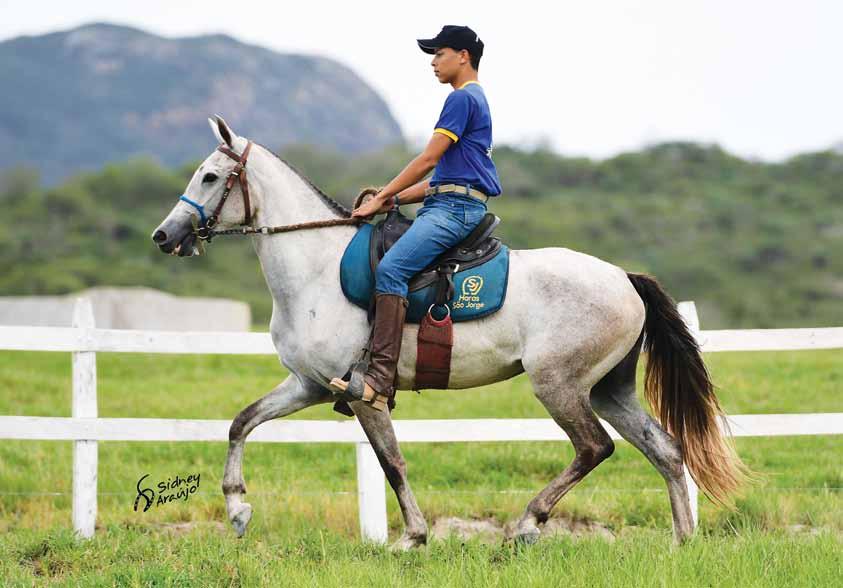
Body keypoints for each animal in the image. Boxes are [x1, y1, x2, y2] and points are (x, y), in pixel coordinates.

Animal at [152, 116, 744, 552]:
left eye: (210, 177)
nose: (165, 235)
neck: (316, 268)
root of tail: (625, 278)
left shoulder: (362, 394)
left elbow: (391, 462)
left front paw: (412, 537)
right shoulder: (310, 385)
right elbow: (241, 422)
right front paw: (238, 510)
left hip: (559, 385)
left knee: (593, 447)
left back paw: (527, 525)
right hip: (608, 390)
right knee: (665, 450)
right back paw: (682, 542)